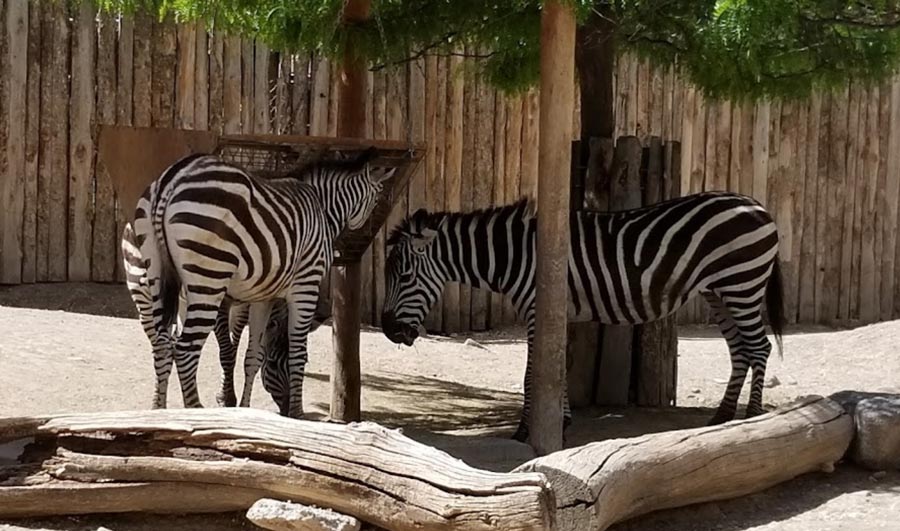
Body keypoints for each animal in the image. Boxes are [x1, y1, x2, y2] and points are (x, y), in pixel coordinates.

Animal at [124, 149, 395, 418]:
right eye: (377, 198)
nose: (361, 235)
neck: (322, 206)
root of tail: (171, 178)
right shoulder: (307, 283)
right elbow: (297, 351)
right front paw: (297, 414)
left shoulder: (263, 296)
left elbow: (252, 356)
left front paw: (245, 411)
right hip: (208, 277)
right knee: (185, 349)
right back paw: (196, 412)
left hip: (157, 276)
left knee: (162, 344)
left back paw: (158, 412)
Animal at [380, 191, 785, 442]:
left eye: (404, 276)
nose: (387, 331)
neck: (515, 256)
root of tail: (756, 205)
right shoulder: (554, 313)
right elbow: (557, 370)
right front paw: (562, 422)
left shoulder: (536, 309)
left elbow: (533, 374)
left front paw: (524, 432)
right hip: (719, 293)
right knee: (741, 352)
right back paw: (721, 418)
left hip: (742, 284)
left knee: (759, 348)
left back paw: (753, 419)